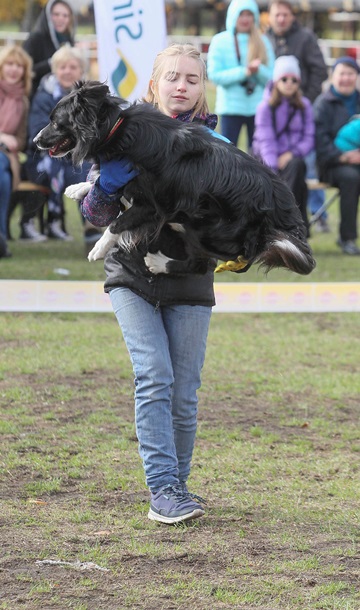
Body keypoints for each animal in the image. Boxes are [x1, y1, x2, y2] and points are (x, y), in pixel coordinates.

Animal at [33, 79, 316, 274]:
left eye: (56, 122)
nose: (35, 141)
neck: (115, 129)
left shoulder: (151, 206)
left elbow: (117, 223)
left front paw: (98, 249)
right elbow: (103, 185)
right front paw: (78, 188)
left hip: (205, 224)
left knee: (199, 263)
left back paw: (159, 264)